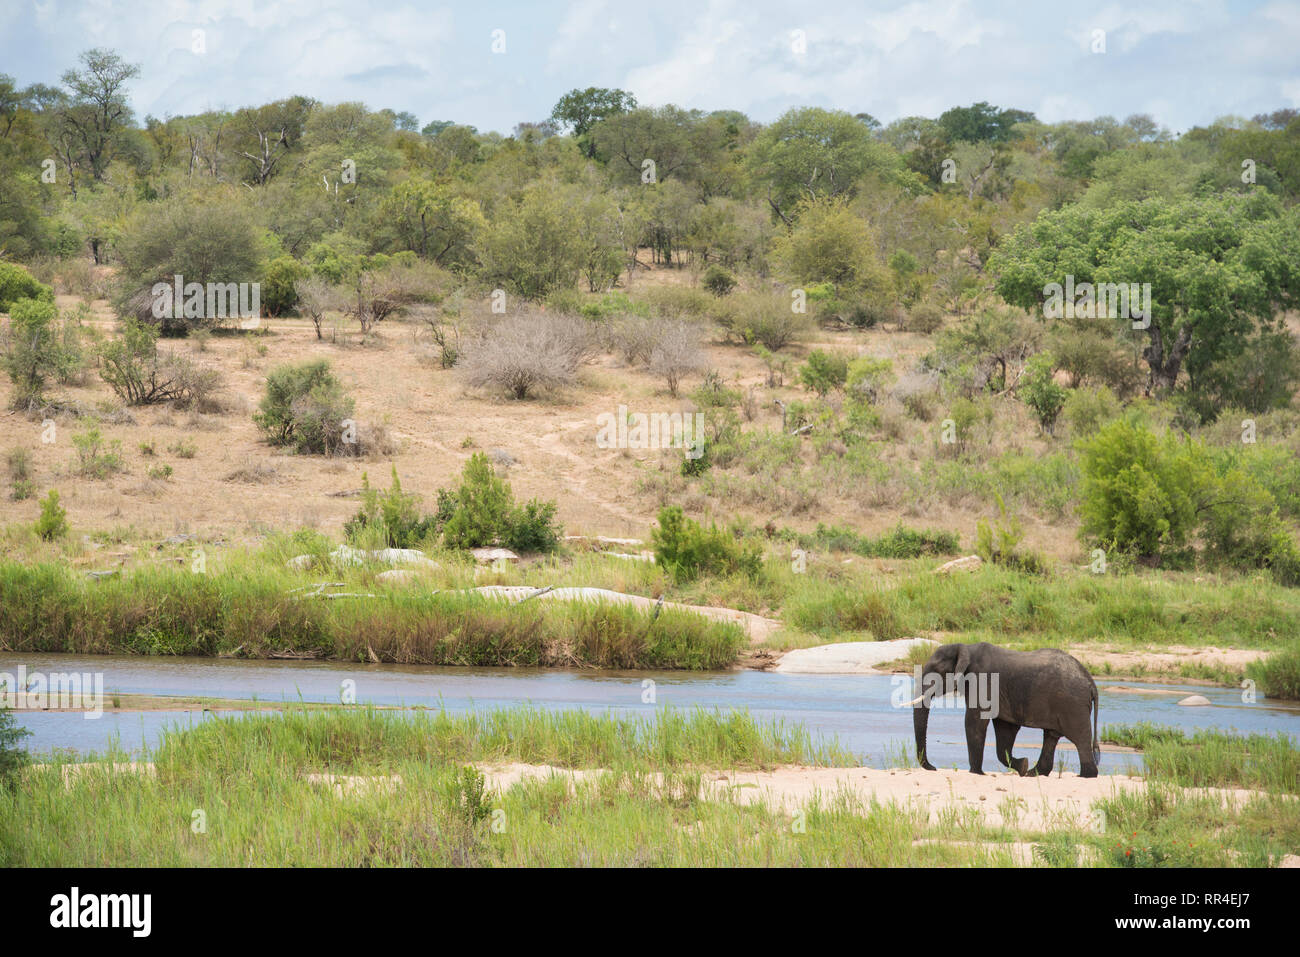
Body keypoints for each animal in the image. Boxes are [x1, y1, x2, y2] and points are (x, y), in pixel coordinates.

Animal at [909, 642, 1102, 780]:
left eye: (936, 672)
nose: (934, 768)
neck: (965, 648)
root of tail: (1091, 683)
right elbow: (1005, 731)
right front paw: (1023, 765)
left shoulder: (982, 682)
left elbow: (974, 722)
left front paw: (976, 773)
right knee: (1051, 736)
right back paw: (1033, 773)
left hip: (1072, 705)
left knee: (1080, 739)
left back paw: (1085, 776)